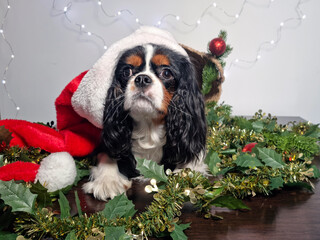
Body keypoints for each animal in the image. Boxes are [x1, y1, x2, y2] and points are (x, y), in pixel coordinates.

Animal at [79, 27, 208, 200]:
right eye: (127, 71)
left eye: (166, 73)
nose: (141, 79)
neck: (149, 127)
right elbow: (106, 153)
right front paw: (107, 181)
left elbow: (191, 162)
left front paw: (184, 176)